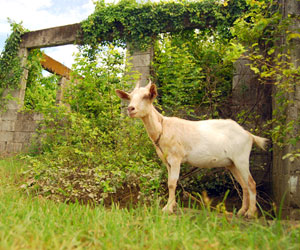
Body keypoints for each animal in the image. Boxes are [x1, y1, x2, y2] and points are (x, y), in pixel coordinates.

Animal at [116, 80, 268, 219]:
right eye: (130, 97)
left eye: (146, 96)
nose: (130, 109)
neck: (162, 128)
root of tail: (248, 134)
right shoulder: (167, 161)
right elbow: (169, 181)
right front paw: (171, 205)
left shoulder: (175, 158)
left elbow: (172, 183)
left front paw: (168, 209)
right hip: (232, 163)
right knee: (244, 185)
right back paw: (241, 211)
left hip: (241, 158)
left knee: (251, 183)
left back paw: (250, 213)